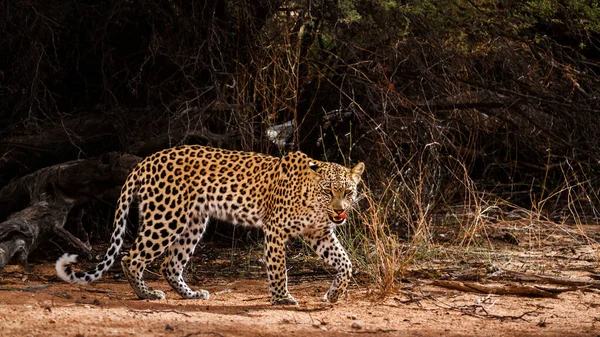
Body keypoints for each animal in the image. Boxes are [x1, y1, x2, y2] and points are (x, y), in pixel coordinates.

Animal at [56, 144, 364, 304]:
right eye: (328, 191)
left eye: (348, 192)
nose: (340, 211)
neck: (314, 203)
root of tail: (147, 160)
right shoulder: (275, 229)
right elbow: (278, 269)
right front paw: (281, 298)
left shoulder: (319, 233)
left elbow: (346, 263)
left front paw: (334, 294)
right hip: (166, 218)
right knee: (130, 258)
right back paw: (147, 294)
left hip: (192, 222)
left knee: (169, 264)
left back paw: (191, 294)